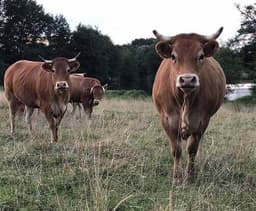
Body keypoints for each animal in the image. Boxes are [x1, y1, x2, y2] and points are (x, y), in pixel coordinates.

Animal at [152, 27, 226, 184]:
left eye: (201, 56)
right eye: (173, 56)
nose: (187, 80)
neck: (184, 100)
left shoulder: (202, 120)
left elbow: (192, 149)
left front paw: (190, 176)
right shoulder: (166, 120)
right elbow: (176, 150)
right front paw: (176, 177)